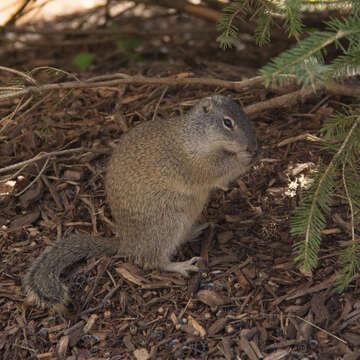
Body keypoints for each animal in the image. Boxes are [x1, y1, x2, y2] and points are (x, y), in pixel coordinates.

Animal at [23, 95, 258, 312]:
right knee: (152, 260)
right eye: (227, 122)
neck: (195, 137)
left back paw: (195, 231)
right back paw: (180, 266)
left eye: (245, 115)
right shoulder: (194, 164)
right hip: (168, 223)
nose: (252, 145)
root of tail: (128, 242)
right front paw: (244, 158)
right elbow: (219, 172)